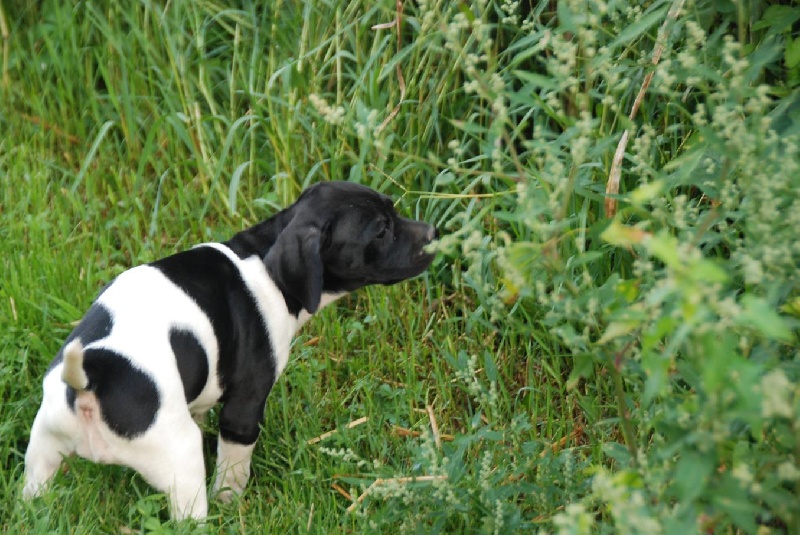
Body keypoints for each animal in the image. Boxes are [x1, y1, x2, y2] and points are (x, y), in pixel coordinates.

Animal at [23, 181, 437, 520]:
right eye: (381, 230)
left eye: (393, 209)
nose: (435, 232)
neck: (264, 263)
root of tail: (92, 378)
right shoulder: (245, 407)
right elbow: (234, 464)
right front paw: (231, 498)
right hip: (181, 461)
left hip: (44, 447)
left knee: (33, 493)